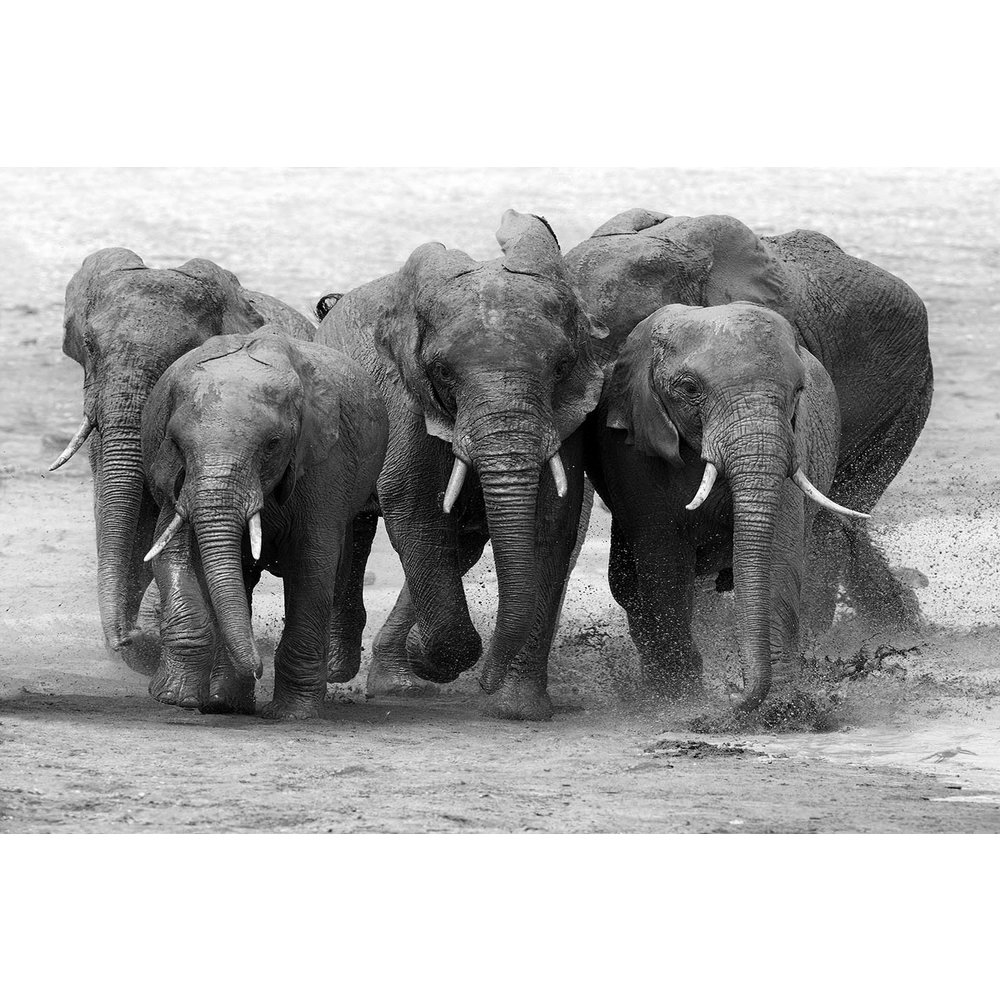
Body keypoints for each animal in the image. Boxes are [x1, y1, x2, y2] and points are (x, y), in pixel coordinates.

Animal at [141, 330, 387, 718]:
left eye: (273, 444)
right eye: (176, 443)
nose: (258, 668)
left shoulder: (325, 462)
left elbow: (312, 561)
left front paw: (293, 715)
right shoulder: (173, 476)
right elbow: (173, 552)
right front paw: (175, 697)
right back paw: (224, 702)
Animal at [316, 210, 608, 721]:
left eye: (560, 368)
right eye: (443, 373)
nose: (487, 683)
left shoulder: (567, 417)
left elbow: (551, 524)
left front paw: (519, 709)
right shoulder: (406, 399)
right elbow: (413, 509)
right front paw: (435, 657)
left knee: (463, 545)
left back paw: (400, 682)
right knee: (353, 527)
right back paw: (339, 668)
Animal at [588, 301, 869, 712]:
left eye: (799, 390)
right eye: (689, 389)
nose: (733, 698)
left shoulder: (792, 442)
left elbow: (778, 556)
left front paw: (782, 708)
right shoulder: (634, 451)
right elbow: (663, 561)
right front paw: (681, 699)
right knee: (627, 583)